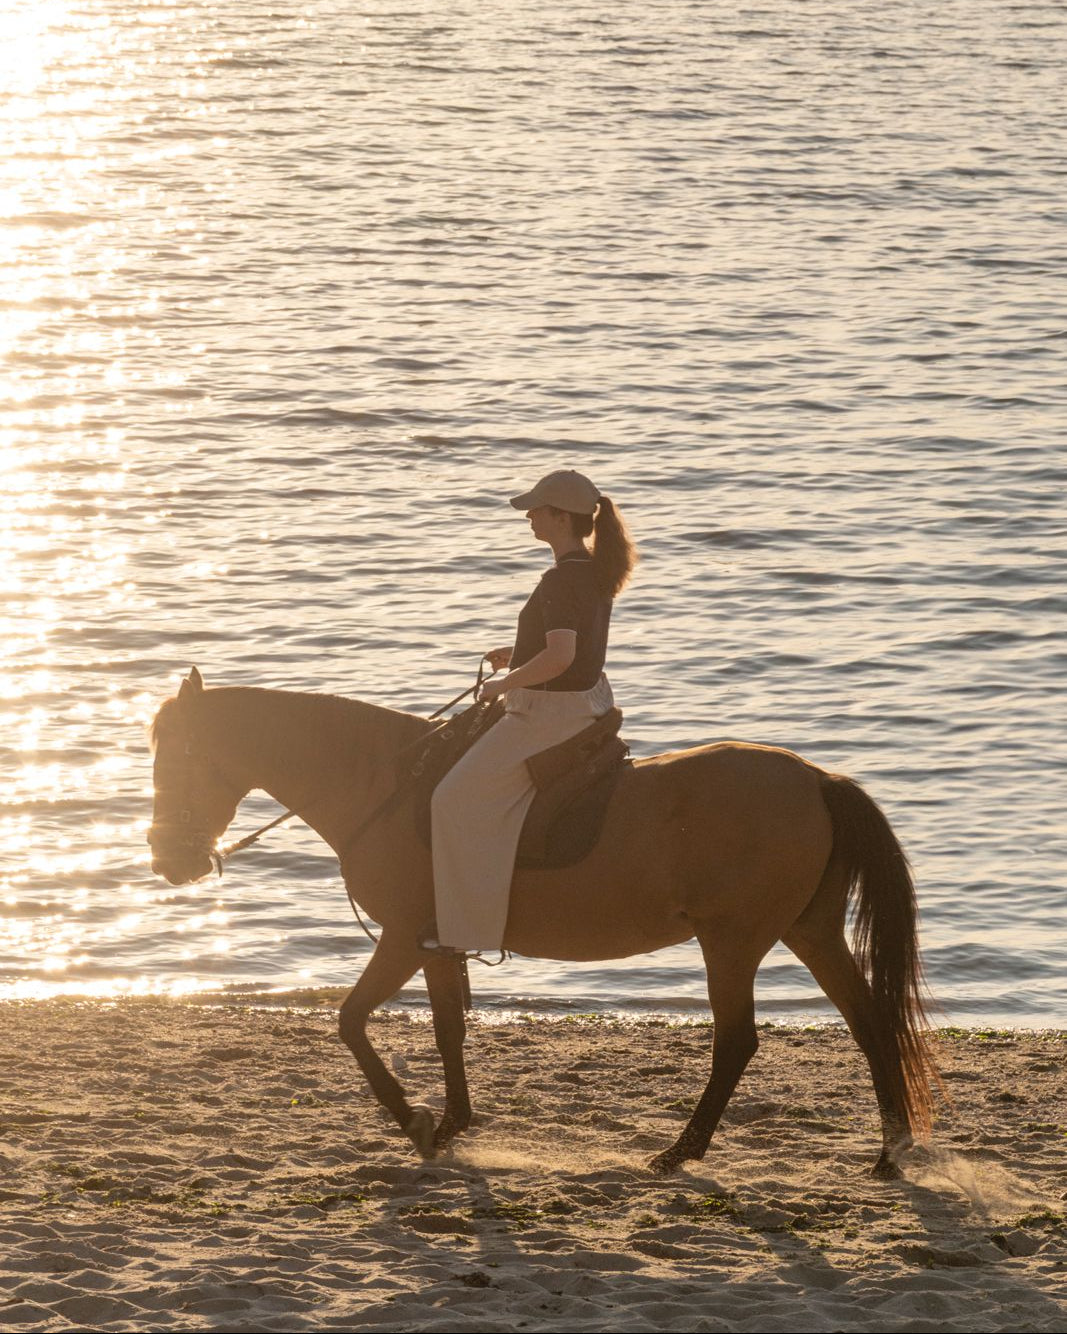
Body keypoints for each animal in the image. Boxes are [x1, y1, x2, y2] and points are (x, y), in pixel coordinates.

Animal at [147, 667, 937, 1178]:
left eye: (178, 759)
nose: (168, 861)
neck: (385, 784)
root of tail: (815, 780)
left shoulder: (403, 938)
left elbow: (350, 1022)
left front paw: (415, 1121)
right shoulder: (436, 942)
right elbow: (447, 1029)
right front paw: (452, 1123)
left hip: (733, 941)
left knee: (738, 1041)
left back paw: (681, 1150)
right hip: (807, 930)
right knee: (869, 1021)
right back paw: (888, 1153)